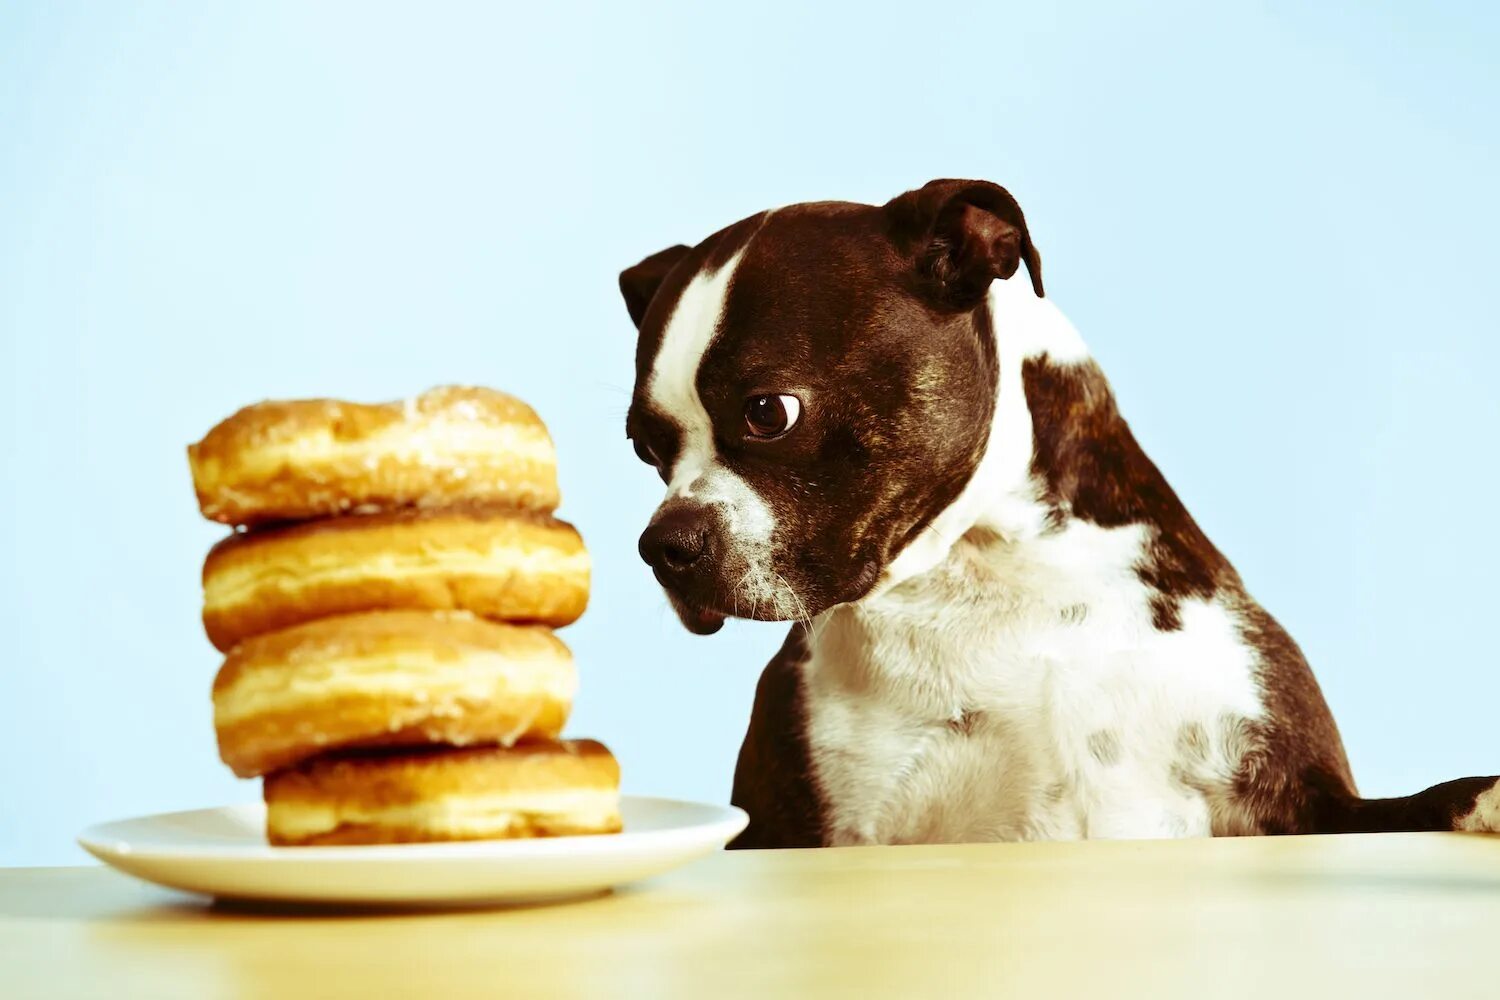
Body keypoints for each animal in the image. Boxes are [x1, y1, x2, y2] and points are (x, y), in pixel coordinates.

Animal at [615, 177, 1494, 845]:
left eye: (770, 412)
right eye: (644, 449)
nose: (664, 544)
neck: (985, 567)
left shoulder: (1302, 795)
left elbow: (1417, 804)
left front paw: (1483, 799)